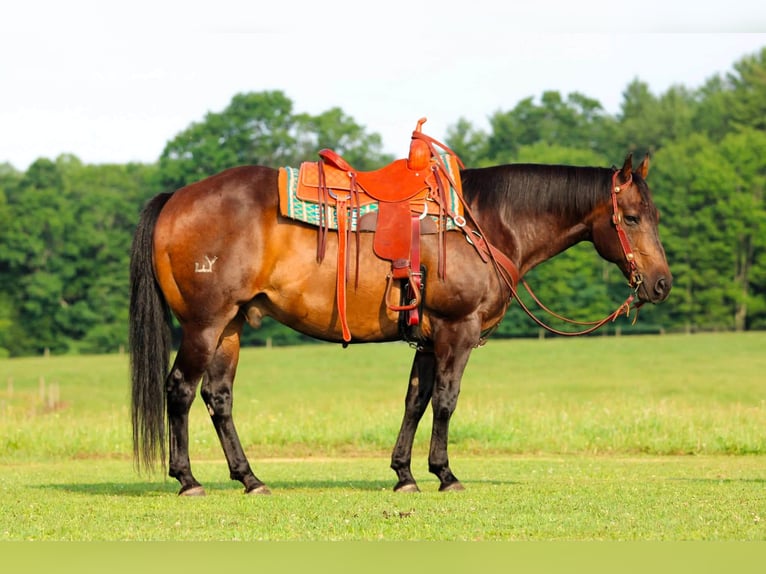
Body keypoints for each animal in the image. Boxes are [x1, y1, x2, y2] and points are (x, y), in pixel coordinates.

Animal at [129, 150, 671, 496]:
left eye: (654, 215)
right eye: (631, 217)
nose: (661, 284)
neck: (485, 222)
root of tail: (176, 198)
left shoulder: (428, 340)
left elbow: (416, 400)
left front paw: (405, 474)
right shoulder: (457, 329)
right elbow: (447, 401)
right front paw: (446, 474)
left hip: (231, 327)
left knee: (218, 397)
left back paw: (250, 479)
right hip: (204, 324)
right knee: (180, 390)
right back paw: (188, 480)